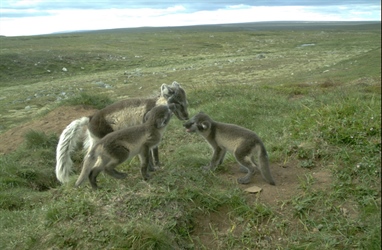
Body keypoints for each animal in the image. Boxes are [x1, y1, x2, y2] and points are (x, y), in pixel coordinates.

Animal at [56, 81, 189, 184]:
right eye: (178, 103)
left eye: (185, 102)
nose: (187, 117)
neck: (157, 105)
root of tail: (90, 117)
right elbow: (149, 156)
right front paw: (151, 169)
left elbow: (155, 153)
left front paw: (158, 165)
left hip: (95, 142)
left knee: (89, 158)